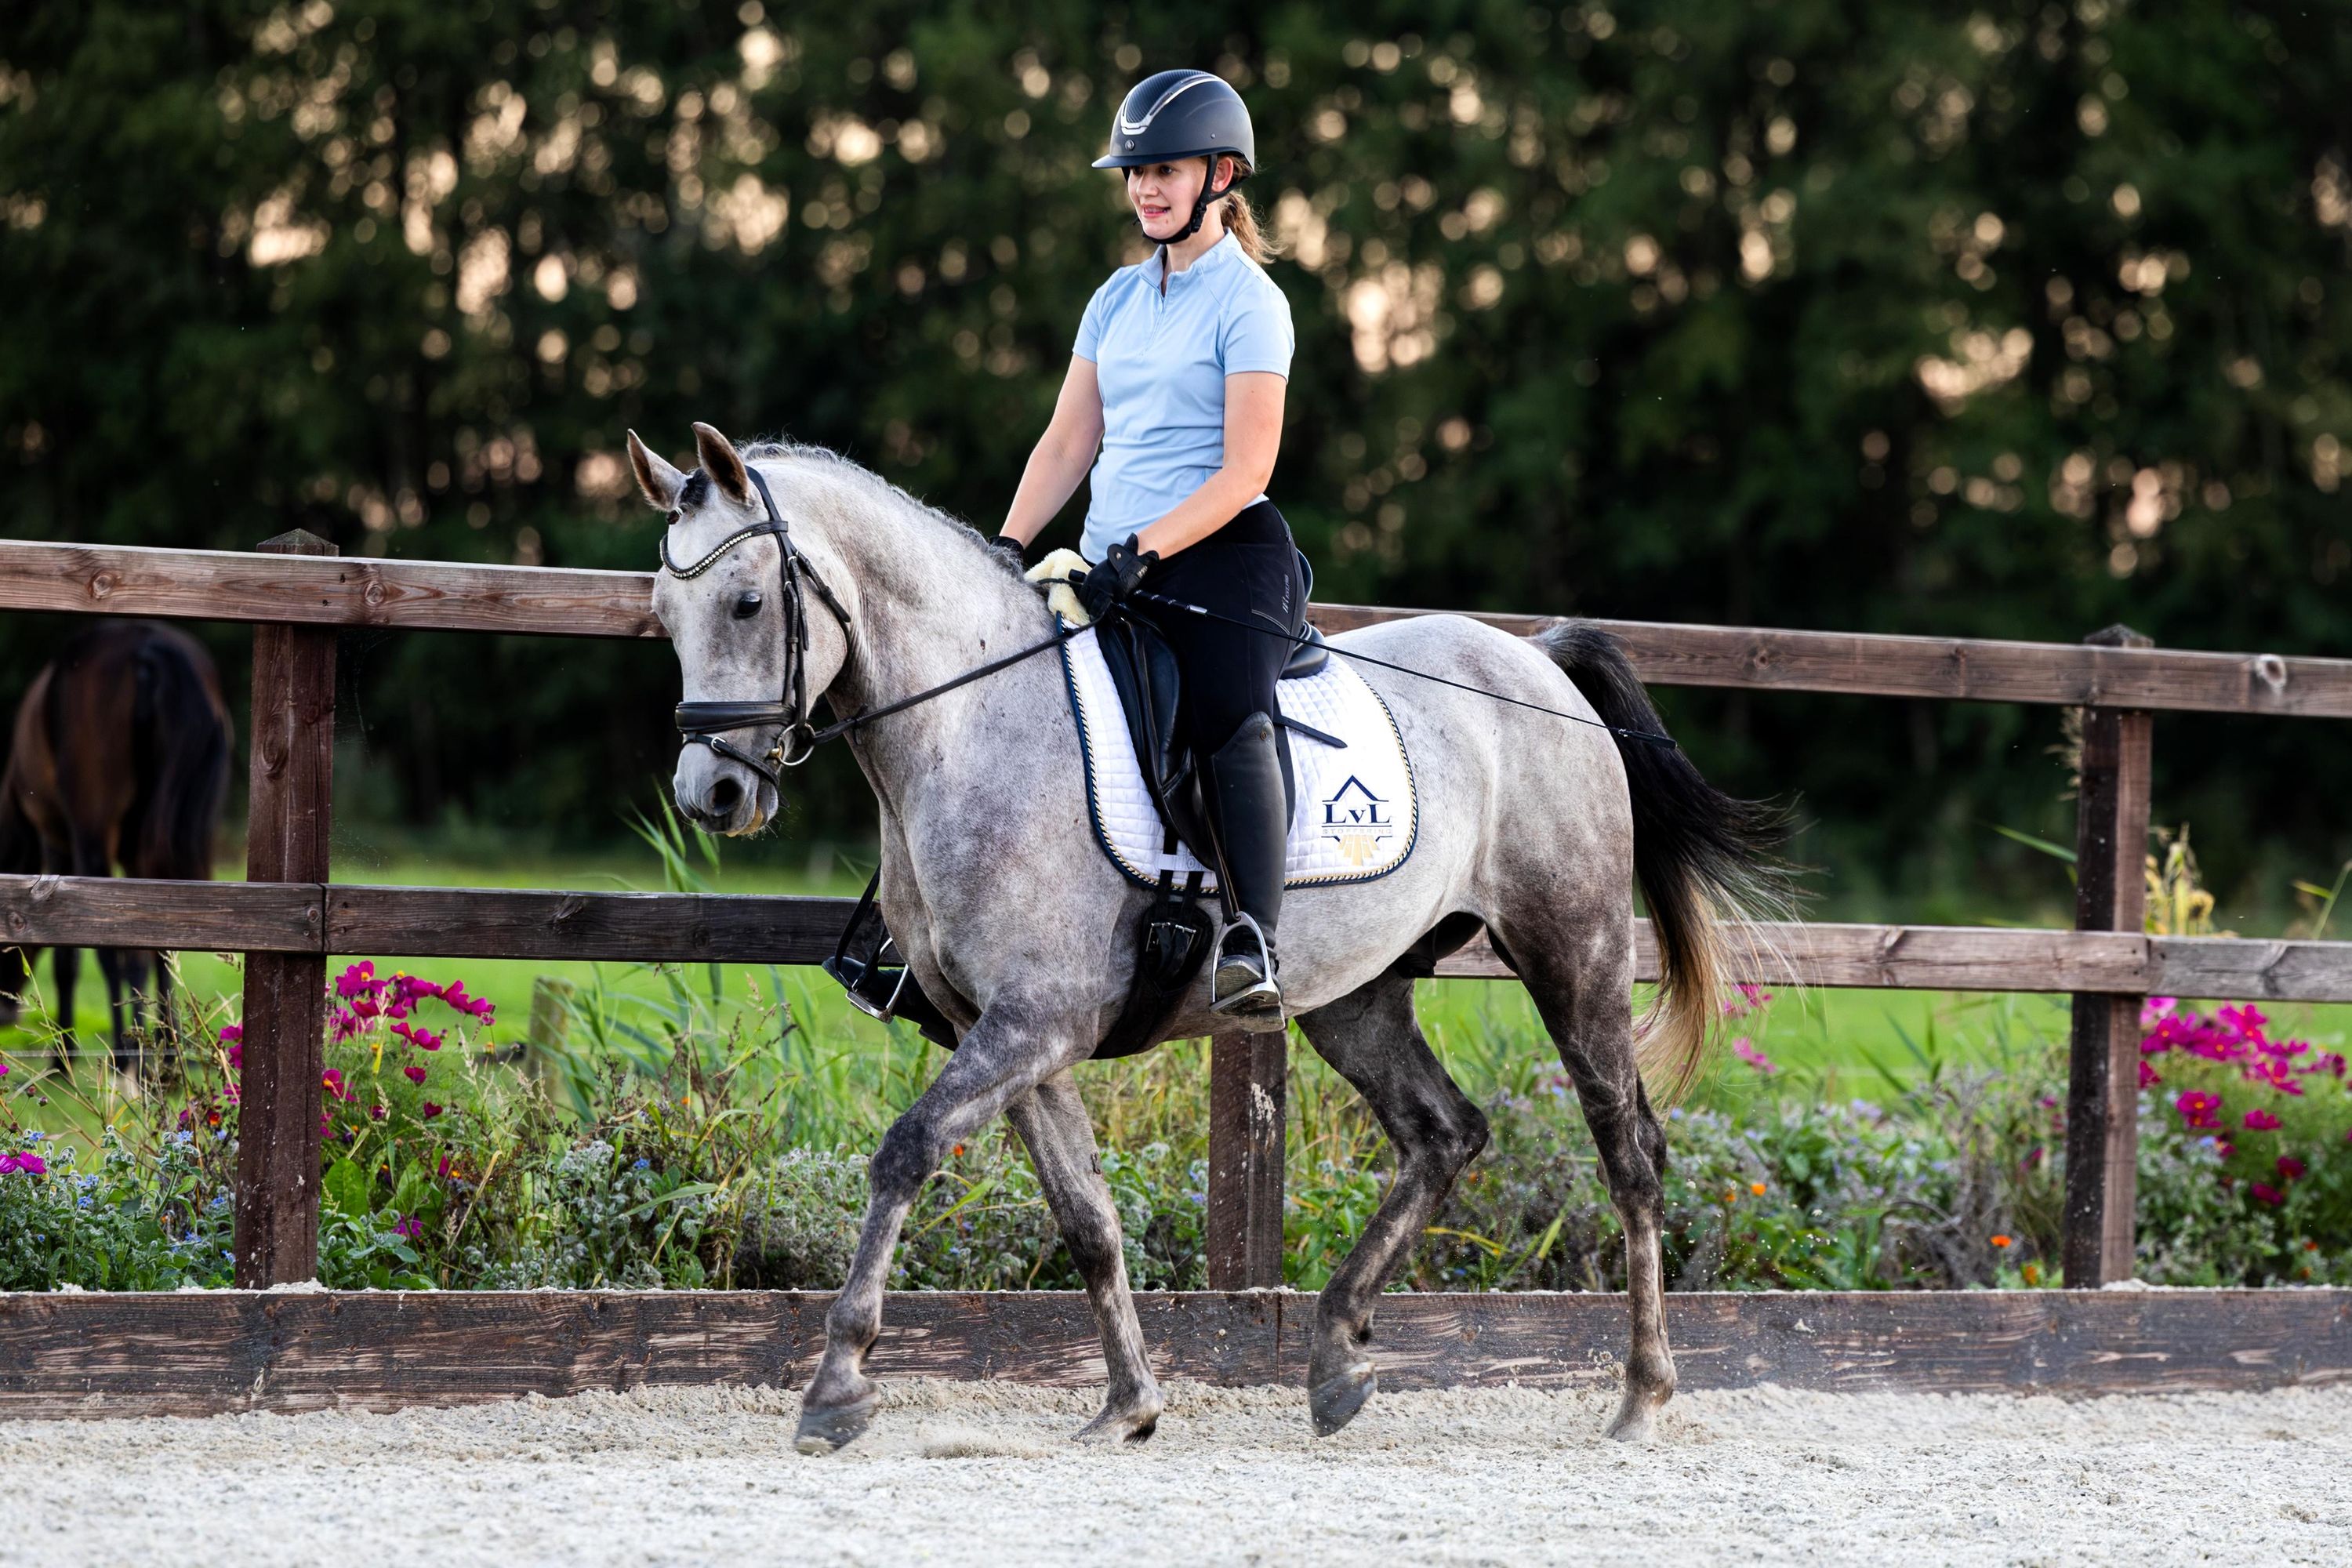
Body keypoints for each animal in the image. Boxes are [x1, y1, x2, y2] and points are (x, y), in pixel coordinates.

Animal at [0, 620, 233, 1071]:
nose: (4, 1014)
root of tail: (147, 647)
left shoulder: (56, 843)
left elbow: (68, 957)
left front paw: (63, 1056)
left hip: (93, 833)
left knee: (113, 953)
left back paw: (127, 1059)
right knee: (157, 946)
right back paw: (165, 1053)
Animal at [631, 422, 1783, 1452]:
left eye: (746, 600)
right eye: (664, 616)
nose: (710, 794)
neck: (975, 725)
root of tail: (1534, 657)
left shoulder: (1033, 1022)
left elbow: (906, 1150)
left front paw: (836, 1385)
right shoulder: (1012, 1037)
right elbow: (1087, 1218)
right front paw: (1129, 1405)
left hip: (1572, 949)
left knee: (1629, 1154)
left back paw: (1640, 1396)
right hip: (1356, 994)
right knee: (1444, 1133)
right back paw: (1335, 1358)